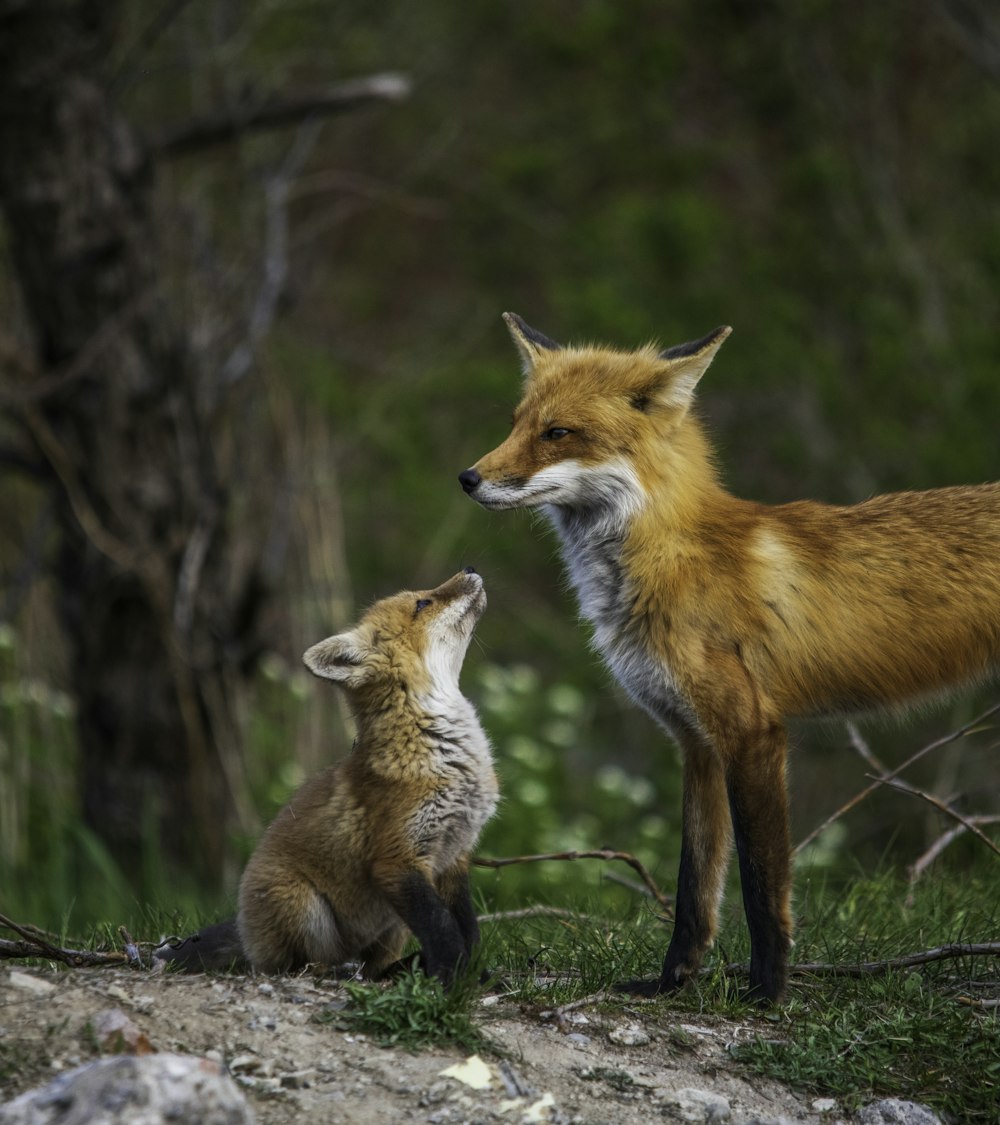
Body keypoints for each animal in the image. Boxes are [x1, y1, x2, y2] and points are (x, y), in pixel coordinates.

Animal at [156, 571, 494, 985]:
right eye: (423, 603)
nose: (471, 568)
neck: (444, 752)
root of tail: (245, 933)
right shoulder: (396, 861)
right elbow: (442, 929)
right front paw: (449, 978)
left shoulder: (453, 855)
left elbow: (466, 927)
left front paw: (468, 972)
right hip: (305, 908)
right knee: (303, 966)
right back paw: (335, 973)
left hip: (392, 927)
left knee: (373, 968)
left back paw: (399, 971)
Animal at [458, 315, 998, 1003]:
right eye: (516, 423)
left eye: (558, 433)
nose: (467, 478)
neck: (668, 560)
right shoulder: (694, 741)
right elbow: (696, 886)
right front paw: (669, 984)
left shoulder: (752, 731)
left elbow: (761, 885)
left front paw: (767, 993)